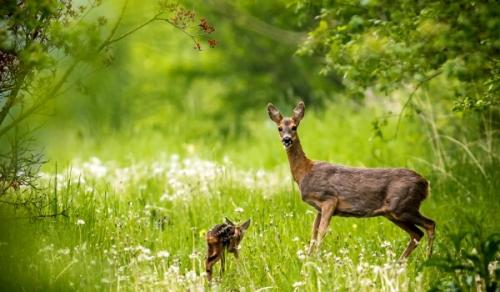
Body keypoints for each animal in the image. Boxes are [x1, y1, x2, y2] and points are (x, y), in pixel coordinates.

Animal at [268, 101, 436, 258]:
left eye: (294, 127)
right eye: (279, 128)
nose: (287, 140)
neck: (305, 171)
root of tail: (425, 184)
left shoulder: (329, 199)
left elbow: (322, 232)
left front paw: (317, 258)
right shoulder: (318, 208)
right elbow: (313, 233)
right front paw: (309, 258)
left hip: (403, 206)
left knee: (430, 225)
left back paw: (428, 259)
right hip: (394, 213)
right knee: (417, 233)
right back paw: (402, 262)